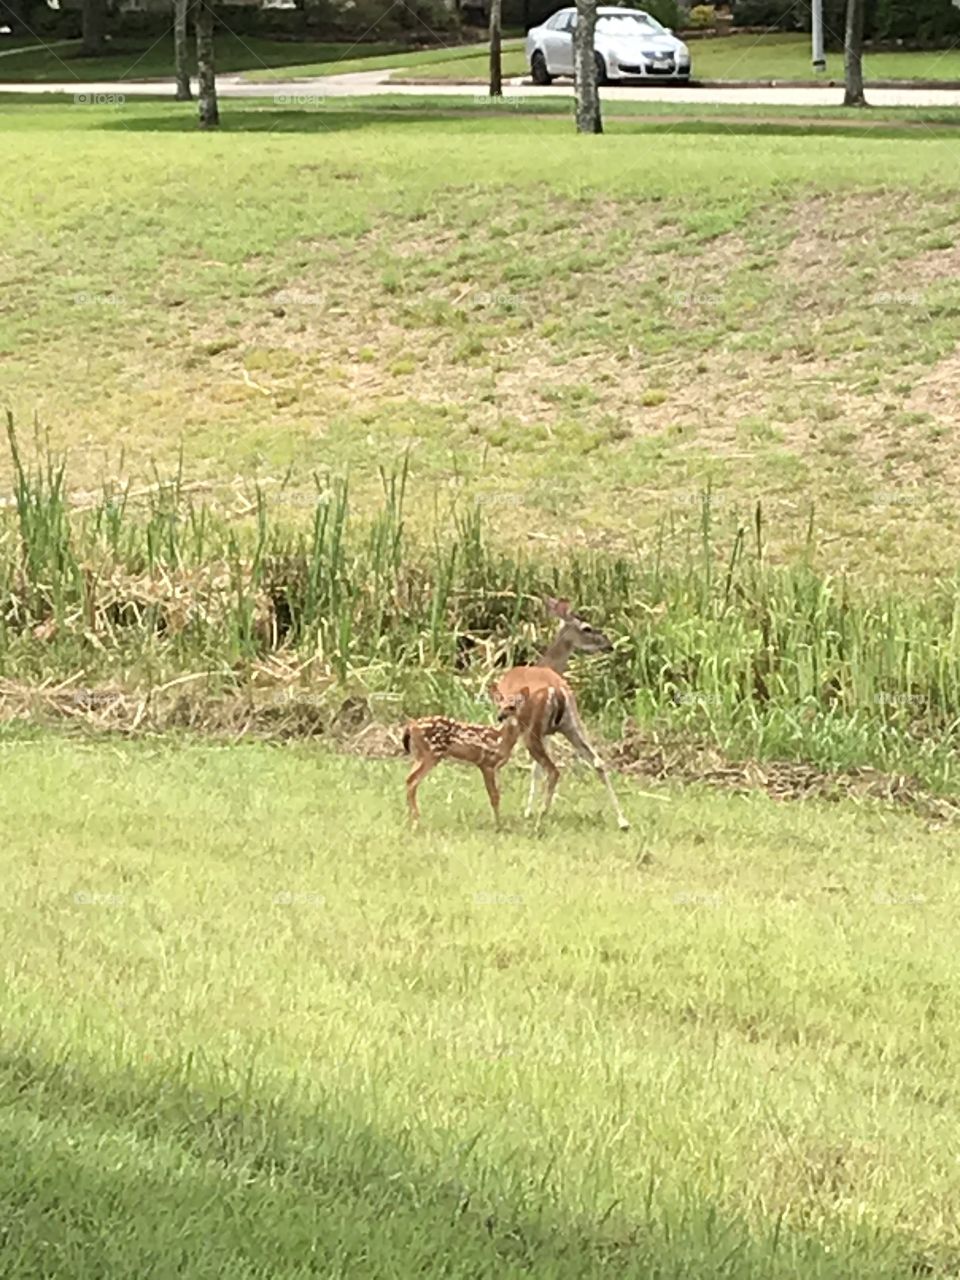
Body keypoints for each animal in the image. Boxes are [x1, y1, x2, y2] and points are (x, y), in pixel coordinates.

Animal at [402, 687, 535, 828]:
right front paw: (498, 825)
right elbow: (493, 796)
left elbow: (498, 794)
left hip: (420, 755)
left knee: (409, 779)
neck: (502, 739)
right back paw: (416, 821)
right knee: (412, 780)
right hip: (430, 754)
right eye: (499, 706)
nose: (500, 717)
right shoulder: (486, 763)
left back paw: (411, 818)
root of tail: (412, 725)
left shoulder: (497, 767)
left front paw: (500, 822)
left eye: (512, 707)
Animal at [488, 597, 630, 831]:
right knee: (597, 761)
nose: (609, 644)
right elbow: (534, 768)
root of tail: (557, 689)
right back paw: (623, 820)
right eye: (587, 628)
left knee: (553, 769)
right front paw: (528, 809)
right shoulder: (547, 732)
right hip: (572, 723)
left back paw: (540, 818)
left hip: (532, 729)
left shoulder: (515, 724)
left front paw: (527, 810)